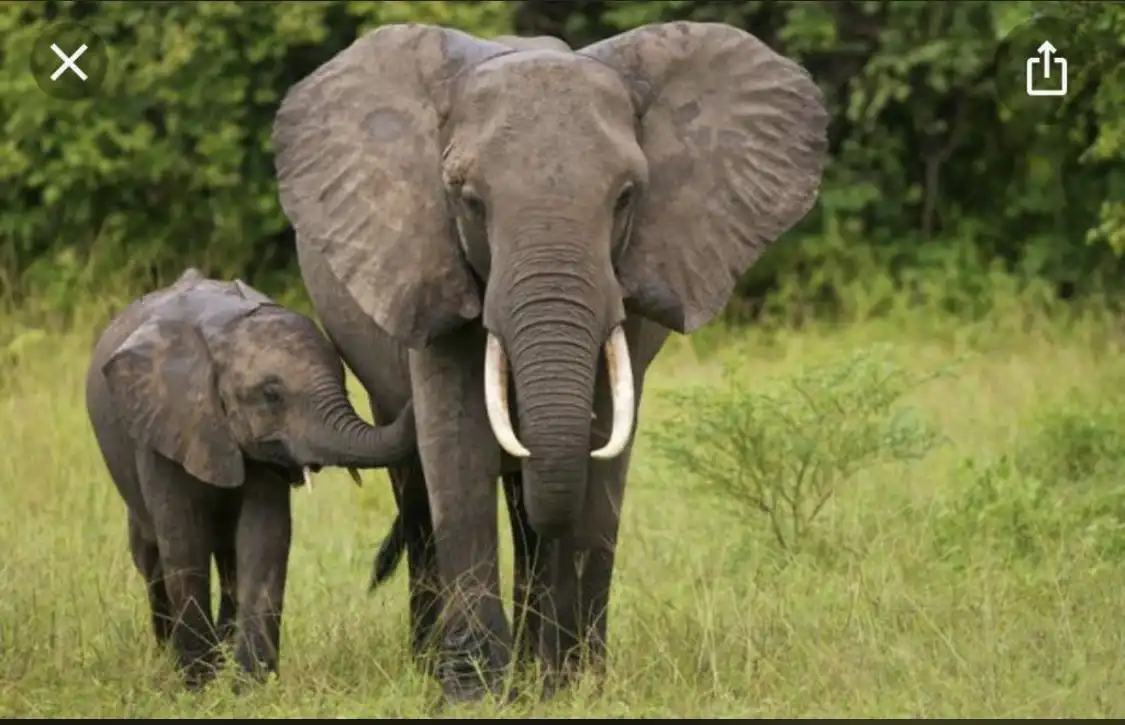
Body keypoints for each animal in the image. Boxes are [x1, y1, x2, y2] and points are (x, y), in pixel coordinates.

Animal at [84, 268, 417, 688]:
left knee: (228, 559)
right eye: (271, 395)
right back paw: (166, 654)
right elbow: (183, 538)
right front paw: (197, 685)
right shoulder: (163, 424)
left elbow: (264, 537)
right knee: (150, 555)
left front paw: (250, 687)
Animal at [271, 21, 828, 702]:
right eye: (468, 200)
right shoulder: (428, 260)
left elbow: (602, 452)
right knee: (421, 489)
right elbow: (457, 448)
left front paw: (574, 687)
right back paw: (437, 665)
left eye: (626, 198)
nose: (553, 673)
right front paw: (472, 695)